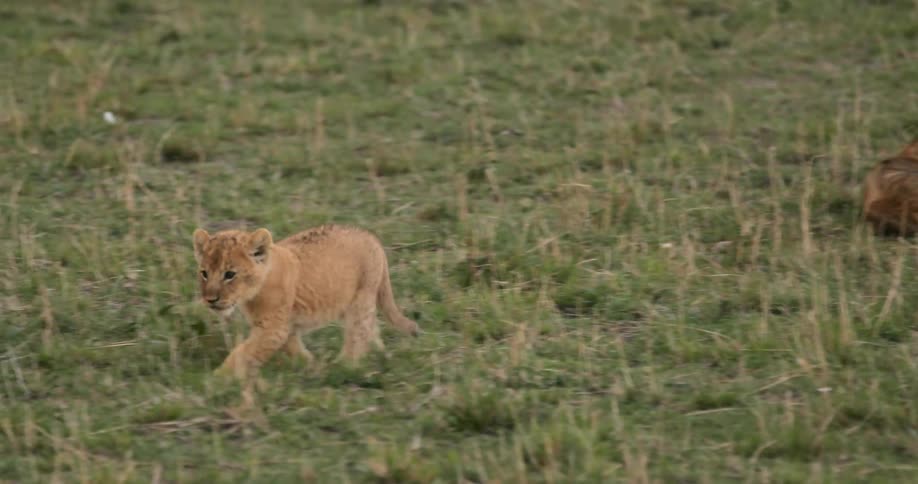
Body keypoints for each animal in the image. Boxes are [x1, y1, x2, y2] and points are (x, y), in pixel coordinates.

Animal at [192, 224, 419, 380]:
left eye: (230, 274)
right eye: (204, 273)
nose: (210, 299)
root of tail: (372, 237)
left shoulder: (273, 329)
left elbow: (243, 351)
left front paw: (219, 378)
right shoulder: (287, 326)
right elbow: (293, 348)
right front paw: (310, 365)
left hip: (361, 299)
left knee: (358, 333)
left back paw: (345, 366)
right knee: (372, 327)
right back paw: (379, 352)